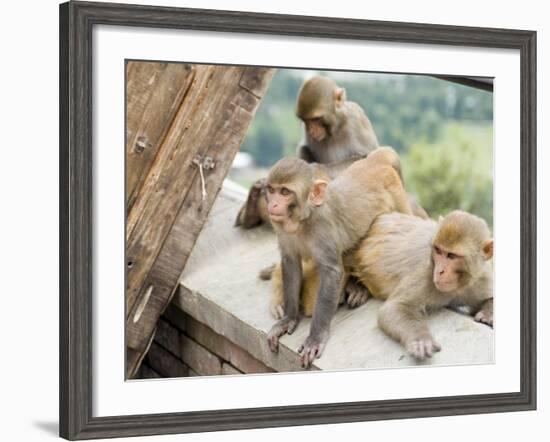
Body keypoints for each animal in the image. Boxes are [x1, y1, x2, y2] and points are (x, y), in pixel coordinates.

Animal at [268, 212, 496, 362]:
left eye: (452, 256)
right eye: (438, 251)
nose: (440, 271)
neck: (459, 285)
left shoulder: (481, 277)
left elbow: (488, 297)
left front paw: (487, 314)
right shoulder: (425, 275)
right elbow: (393, 309)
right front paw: (420, 340)